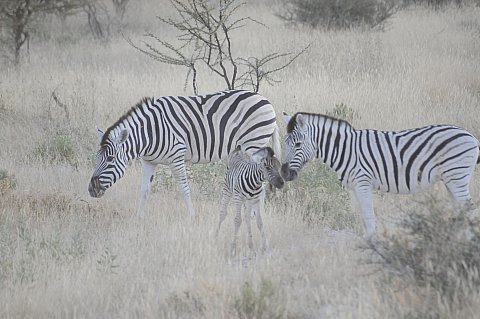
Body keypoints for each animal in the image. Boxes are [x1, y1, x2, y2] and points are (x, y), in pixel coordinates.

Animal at [89, 90, 282, 220]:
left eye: (110, 159)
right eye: (96, 159)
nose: (91, 189)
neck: (150, 133)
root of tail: (266, 100)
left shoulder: (176, 156)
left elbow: (184, 188)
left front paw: (191, 216)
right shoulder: (148, 161)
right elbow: (144, 190)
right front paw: (139, 218)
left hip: (253, 143)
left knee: (258, 182)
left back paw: (255, 215)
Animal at [282, 112, 480, 238]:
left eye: (298, 144)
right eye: (285, 143)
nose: (284, 173)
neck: (345, 149)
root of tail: (471, 136)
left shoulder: (362, 183)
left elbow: (369, 217)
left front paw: (371, 244)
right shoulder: (355, 188)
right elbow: (363, 217)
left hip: (457, 177)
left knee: (469, 210)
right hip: (450, 180)